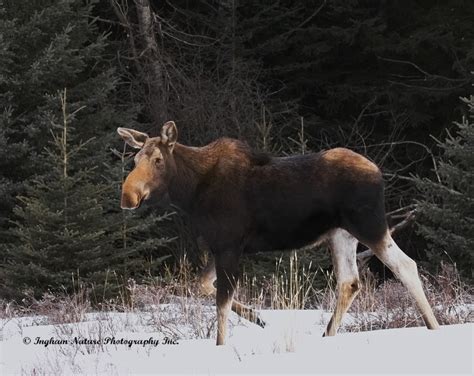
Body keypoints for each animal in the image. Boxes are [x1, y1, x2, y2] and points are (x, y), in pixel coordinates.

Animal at [118, 122, 440, 346]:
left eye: (158, 160)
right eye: (134, 160)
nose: (128, 196)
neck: (191, 193)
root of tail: (378, 172)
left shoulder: (229, 245)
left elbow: (221, 303)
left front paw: (223, 344)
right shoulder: (219, 246)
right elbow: (204, 286)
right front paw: (258, 318)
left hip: (369, 224)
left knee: (405, 265)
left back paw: (434, 326)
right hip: (341, 233)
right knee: (350, 281)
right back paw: (328, 335)